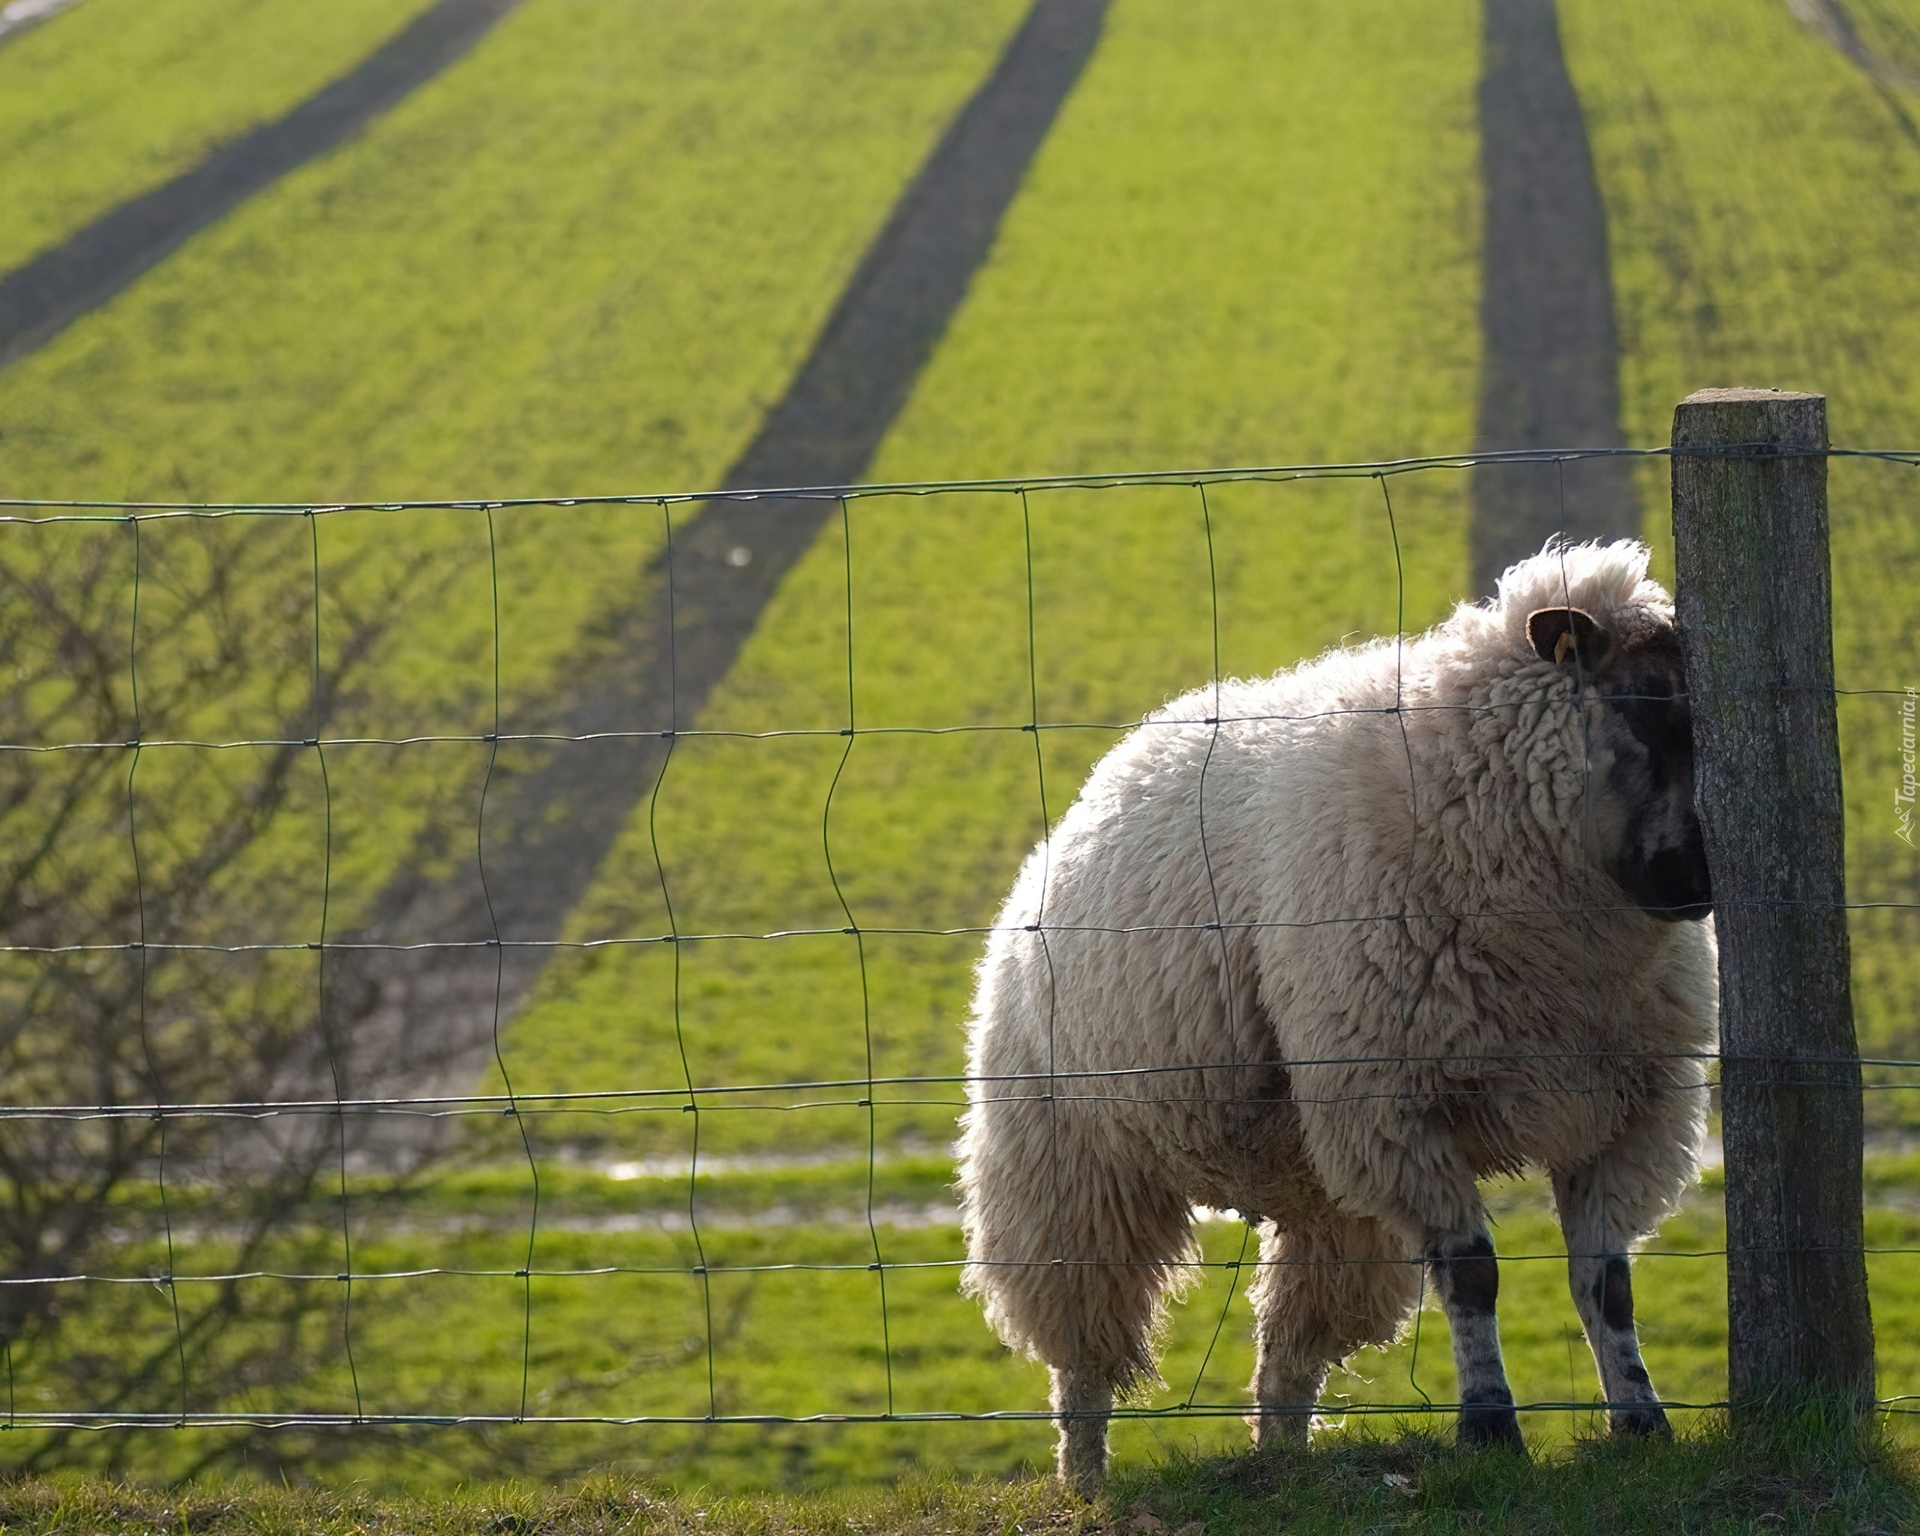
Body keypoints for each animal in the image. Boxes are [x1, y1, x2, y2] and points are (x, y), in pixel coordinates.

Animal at [960, 537, 1728, 1489]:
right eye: (1647, 707)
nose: (1703, 882)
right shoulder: (1398, 1104)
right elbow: (1472, 1276)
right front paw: (1490, 1431)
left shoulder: (1630, 1110)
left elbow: (1606, 1284)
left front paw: (1642, 1421)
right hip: (1069, 1168)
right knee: (1083, 1352)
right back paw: (1087, 1478)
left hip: (1323, 1189)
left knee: (1290, 1351)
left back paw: (1282, 1458)